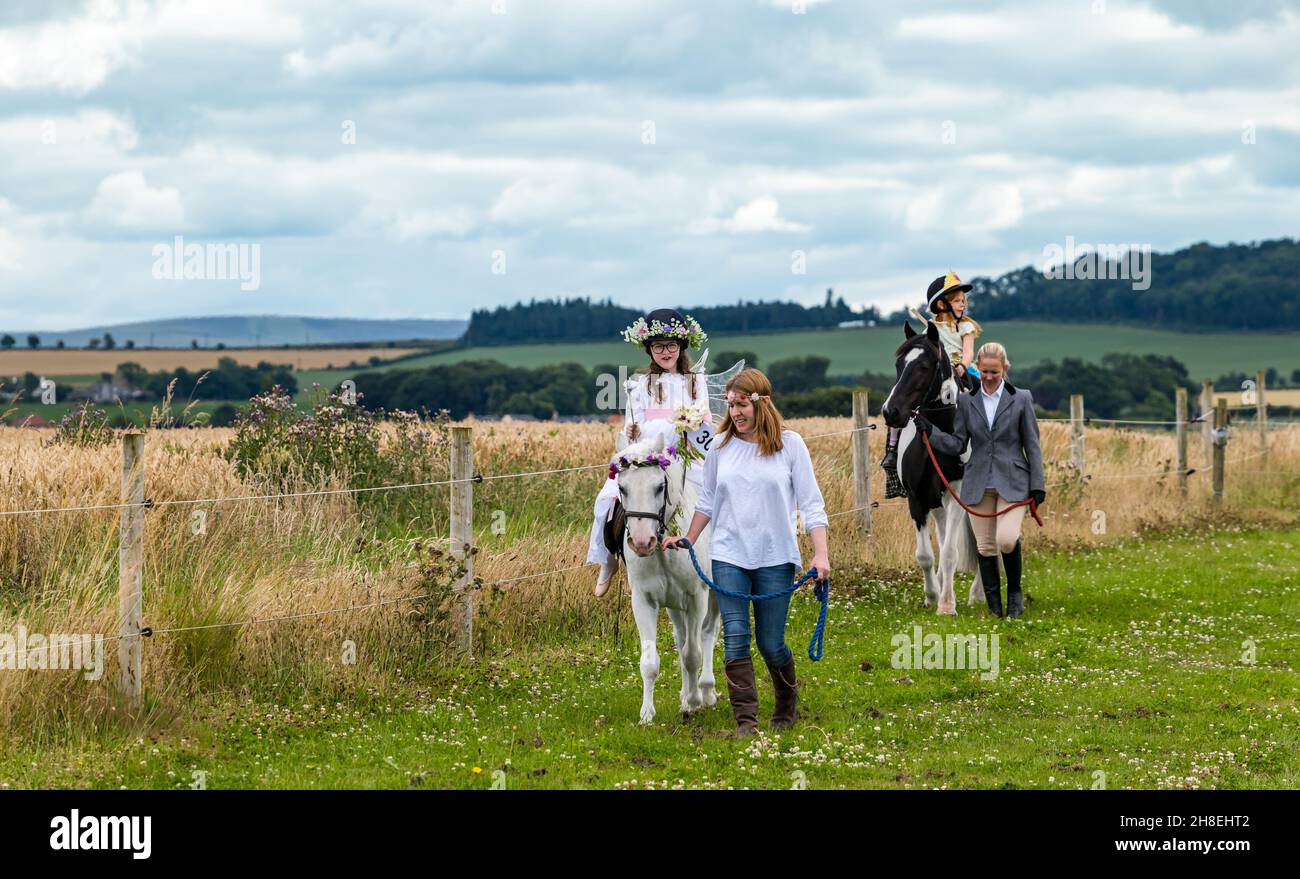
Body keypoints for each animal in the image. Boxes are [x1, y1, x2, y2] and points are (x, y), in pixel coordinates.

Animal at [608, 429, 722, 722]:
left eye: (659, 487)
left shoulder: (696, 598)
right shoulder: (645, 601)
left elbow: (692, 654)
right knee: (682, 638)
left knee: (707, 634)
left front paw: (694, 700)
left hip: (714, 595)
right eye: (622, 488)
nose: (641, 543)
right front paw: (647, 713)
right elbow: (650, 661)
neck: (664, 549)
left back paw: (706, 691)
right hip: (674, 606)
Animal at [878, 319, 977, 613]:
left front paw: (946, 604)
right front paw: (932, 595)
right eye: (899, 365)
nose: (890, 412)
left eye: (923, 367)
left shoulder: (957, 495)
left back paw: (976, 593)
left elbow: (950, 553)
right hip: (937, 504)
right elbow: (925, 554)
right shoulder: (917, 498)